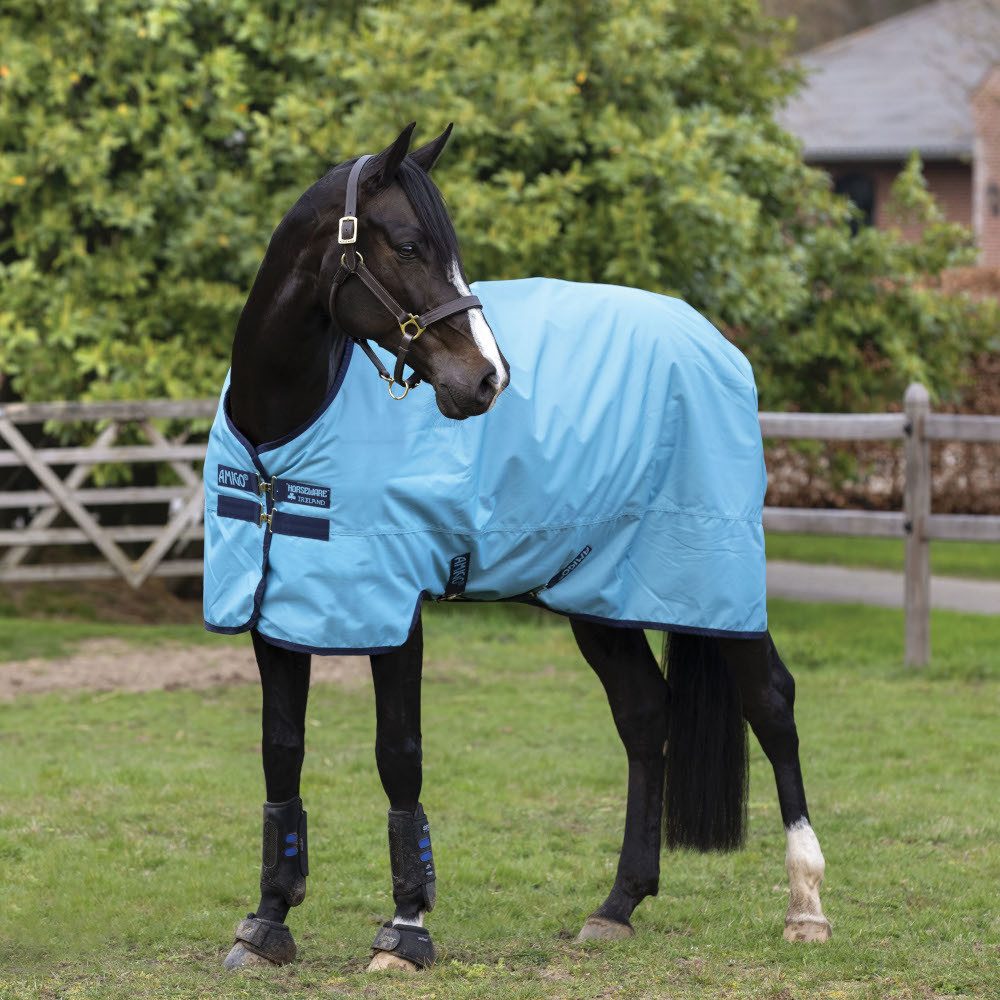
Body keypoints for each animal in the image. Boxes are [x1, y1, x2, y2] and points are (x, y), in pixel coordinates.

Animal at [209, 123, 831, 972]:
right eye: (408, 243)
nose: (488, 379)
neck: (285, 432)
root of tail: (712, 343)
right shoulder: (277, 612)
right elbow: (282, 751)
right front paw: (268, 920)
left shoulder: (395, 612)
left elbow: (398, 755)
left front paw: (406, 930)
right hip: (600, 596)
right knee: (646, 716)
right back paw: (619, 904)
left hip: (717, 583)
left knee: (771, 703)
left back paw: (806, 907)